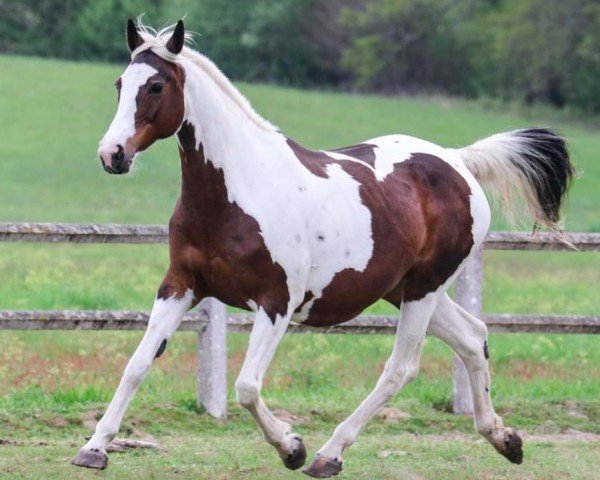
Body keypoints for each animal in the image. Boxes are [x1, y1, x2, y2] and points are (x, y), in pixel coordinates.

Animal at [72, 19, 576, 476]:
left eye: (156, 85)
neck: (237, 190)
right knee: (473, 338)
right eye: (121, 84)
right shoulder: (181, 285)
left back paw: (327, 454)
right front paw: (94, 449)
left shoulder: (277, 300)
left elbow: (247, 386)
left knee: (401, 367)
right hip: (404, 289)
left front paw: (291, 448)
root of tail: (458, 160)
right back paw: (505, 439)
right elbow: (137, 365)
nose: (111, 154)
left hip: (424, 289)